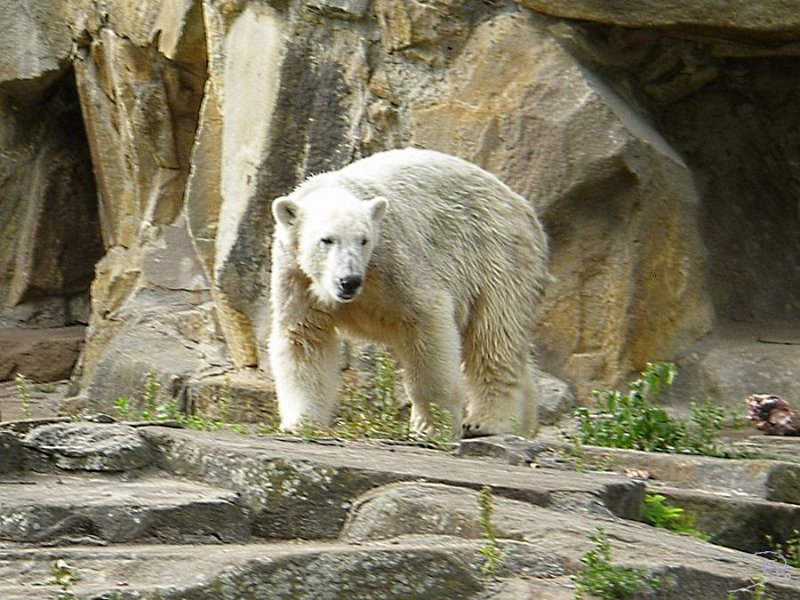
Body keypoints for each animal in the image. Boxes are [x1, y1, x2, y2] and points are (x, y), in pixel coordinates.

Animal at [268, 148, 552, 438]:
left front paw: (434, 426)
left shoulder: (395, 262)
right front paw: (302, 422)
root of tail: (523, 208)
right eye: (326, 240)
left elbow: (428, 325)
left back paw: (486, 422)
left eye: (363, 240)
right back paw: (522, 424)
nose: (350, 281)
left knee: (493, 336)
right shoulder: (296, 275)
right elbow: (305, 339)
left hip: (498, 257)